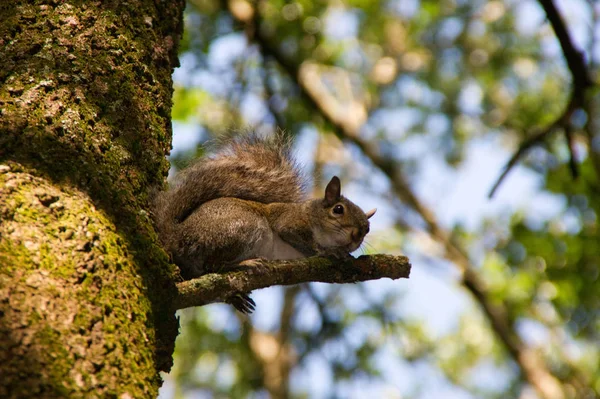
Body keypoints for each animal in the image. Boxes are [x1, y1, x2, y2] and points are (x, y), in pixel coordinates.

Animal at [152, 134, 376, 312]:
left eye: (367, 229)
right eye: (338, 209)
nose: (356, 235)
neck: (310, 214)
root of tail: (177, 235)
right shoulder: (289, 222)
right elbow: (304, 242)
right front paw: (329, 252)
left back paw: (236, 297)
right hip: (244, 227)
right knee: (213, 265)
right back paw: (245, 264)